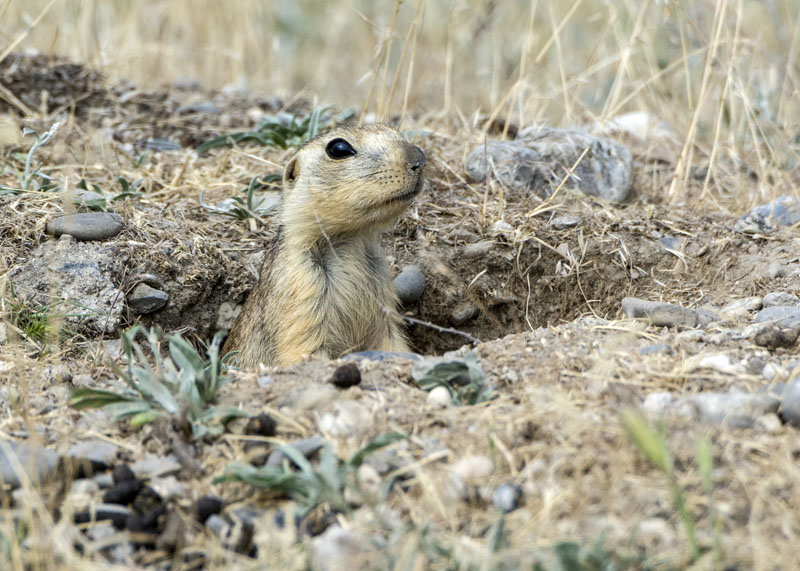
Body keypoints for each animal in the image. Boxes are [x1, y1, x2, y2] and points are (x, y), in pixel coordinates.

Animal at [223, 123, 424, 368]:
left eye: (394, 131)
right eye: (338, 148)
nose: (419, 159)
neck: (351, 238)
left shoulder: (383, 293)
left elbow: (389, 338)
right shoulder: (300, 286)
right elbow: (304, 348)